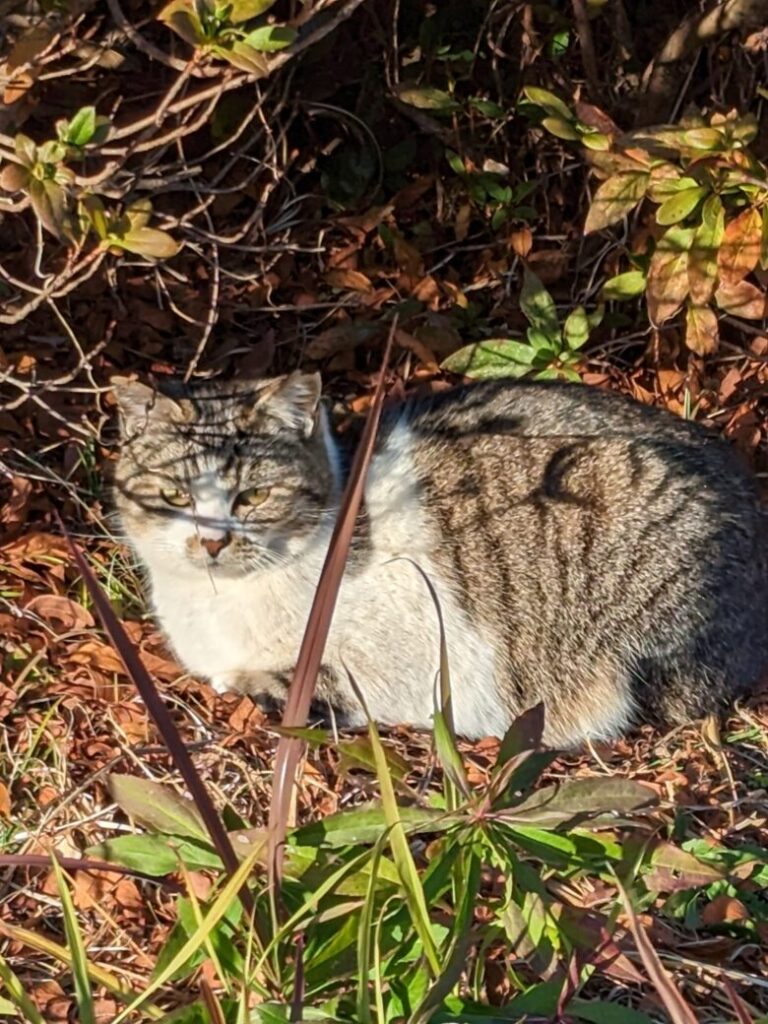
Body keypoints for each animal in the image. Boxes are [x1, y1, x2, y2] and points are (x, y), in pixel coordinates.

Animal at [114, 376, 768, 745]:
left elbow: (298, 684)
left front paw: (252, 684)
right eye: (173, 494)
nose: (212, 542)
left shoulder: (400, 662)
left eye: (252, 496)